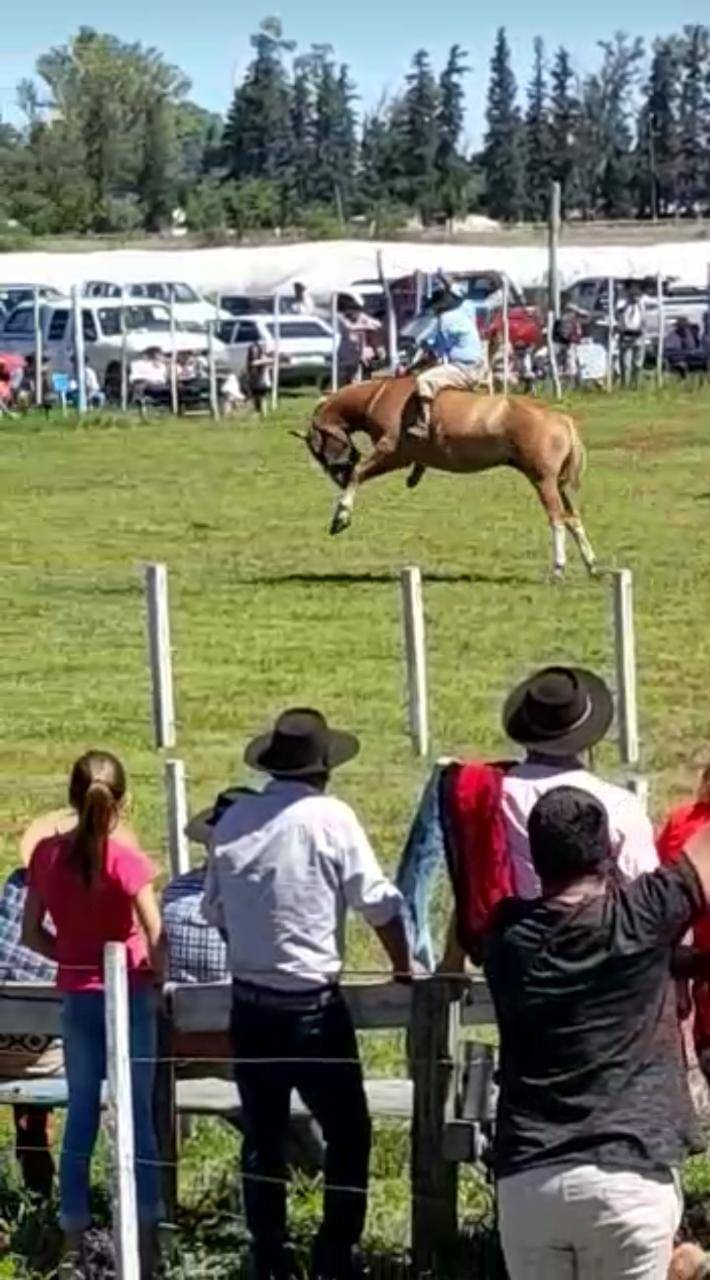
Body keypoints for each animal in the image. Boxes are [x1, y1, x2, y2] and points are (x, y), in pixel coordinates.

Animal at [295, 373, 601, 578]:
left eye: (317, 448)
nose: (337, 474)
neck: (381, 396)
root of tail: (560, 419)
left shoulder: (392, 454)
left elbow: (358, 475)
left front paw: (341, 516)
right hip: (560, 485)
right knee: (573, 519)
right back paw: (591, 564)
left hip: (543, 481)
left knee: (557, 519)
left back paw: (559, 567)